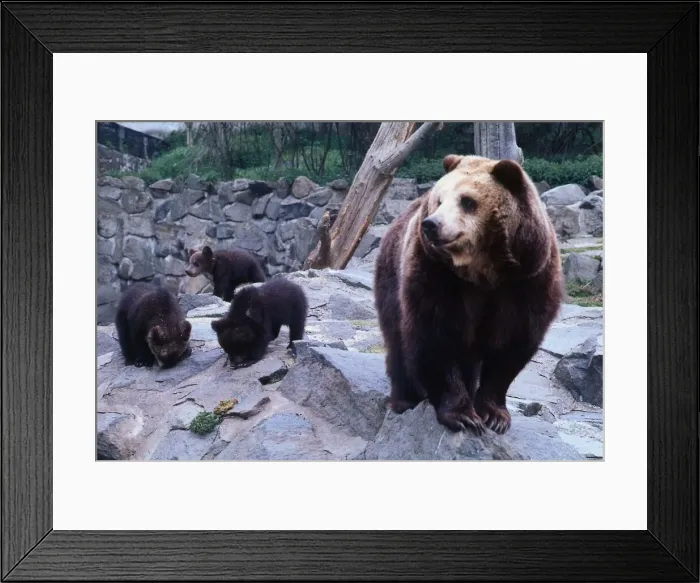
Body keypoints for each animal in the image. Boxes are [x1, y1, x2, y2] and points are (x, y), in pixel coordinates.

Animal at [374, 154, 563, 435]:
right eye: (439, 200)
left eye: (467, 201)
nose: (432, 224)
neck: (483, 271)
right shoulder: (435, 273)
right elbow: (436, 336)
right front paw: (462, 415)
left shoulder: (527, 279)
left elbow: (512, 344)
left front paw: (494, 415)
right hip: (391, 276)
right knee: (397, 339)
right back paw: (404, 399)